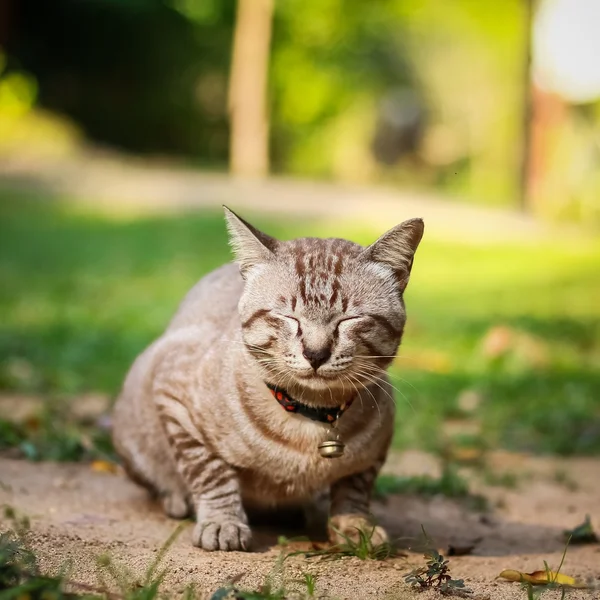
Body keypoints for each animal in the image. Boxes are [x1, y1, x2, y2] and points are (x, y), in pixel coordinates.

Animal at [111, 204, 422, 552]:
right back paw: (178, 499)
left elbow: (354, 488)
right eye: (287, 317)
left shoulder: (375, 452)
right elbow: (210, 473)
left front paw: (355, 527)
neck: (313, 414)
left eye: (349, 320)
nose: (316, 354)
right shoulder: (173, 397)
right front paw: (222, 522)